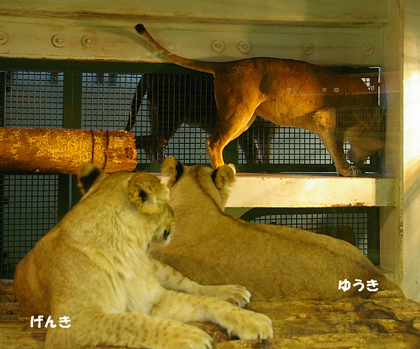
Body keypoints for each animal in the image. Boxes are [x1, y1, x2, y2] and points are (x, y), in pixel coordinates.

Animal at [13, 164, 272, 348]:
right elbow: (131, 322)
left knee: (193, 287)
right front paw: (190, 335)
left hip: (161, 268)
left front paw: (253, 320)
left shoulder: (155, 298)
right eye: (167, 202)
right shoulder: (70, 323)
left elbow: (205, 301)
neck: (127, 251)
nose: (175, 219)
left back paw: (232, 292)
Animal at [135, 23, 384, 177]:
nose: (360, 160)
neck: (370, 111)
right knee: (213, 141)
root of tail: (226, 65)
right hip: (238, 112)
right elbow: (337, 149)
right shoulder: (325, 118)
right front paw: (348, 169)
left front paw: (344, 168)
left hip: (246, 119)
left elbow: (334, 148)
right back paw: (222, 169)